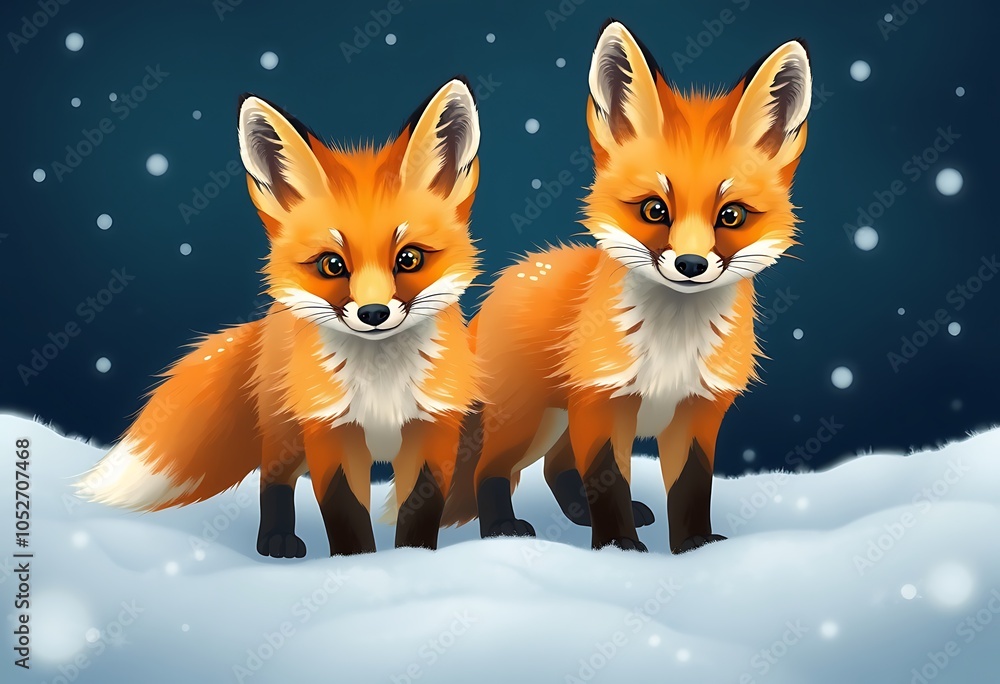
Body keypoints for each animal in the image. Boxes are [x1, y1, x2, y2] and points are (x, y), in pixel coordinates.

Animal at [75, 78, 484, 557]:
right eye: (331, 265)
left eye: (409, 258)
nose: (374, 313)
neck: (381, 382)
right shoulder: (328, 431)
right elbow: (344, 510)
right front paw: (354, 562)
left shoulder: (434, 429)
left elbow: (421, 508)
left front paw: (412, 558)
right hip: (283, 429)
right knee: (273, 478)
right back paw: (276, 539)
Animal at [441, 20, 812, 554]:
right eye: (655, 209)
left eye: (731, 216)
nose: (691, 264)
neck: (672, 342)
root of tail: (511, 275)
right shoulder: (602, 403)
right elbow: (608, 480)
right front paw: (618, 546)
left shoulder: (697, 412)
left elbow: (691, 487)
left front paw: (694, 545)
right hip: (527, 420)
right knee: (490, 472)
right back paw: (500, 529)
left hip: (557, 420)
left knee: (555, 469)